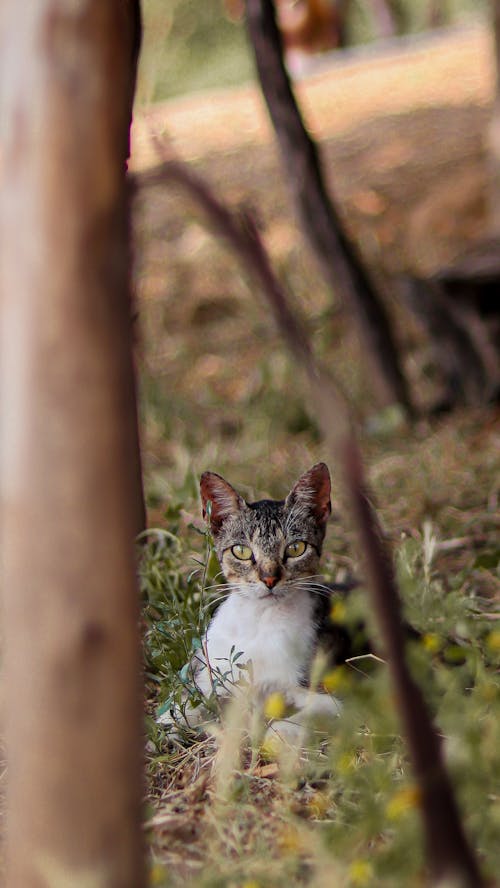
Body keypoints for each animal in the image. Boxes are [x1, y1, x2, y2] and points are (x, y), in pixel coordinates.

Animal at [158, 464, 346, 744]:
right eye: (242, 551)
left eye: (296, 548)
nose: (269, 579)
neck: (259, 620)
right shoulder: (209, 675)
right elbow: (188, 704)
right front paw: (168, 723)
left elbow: (317, 713)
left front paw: (279, 733)